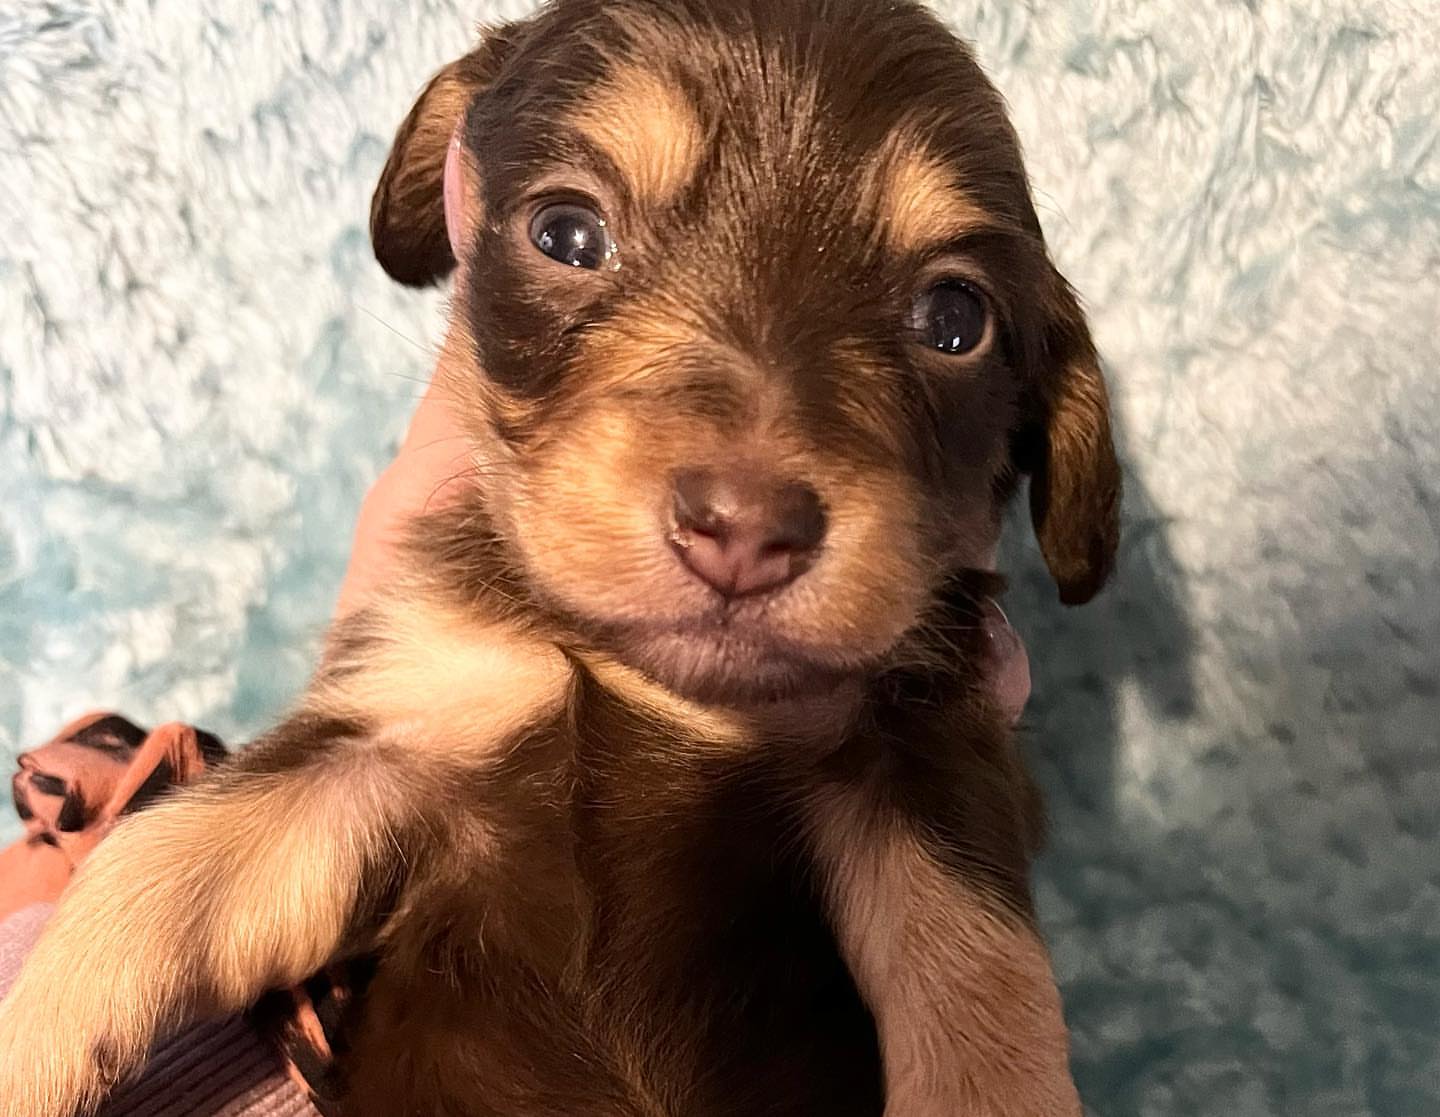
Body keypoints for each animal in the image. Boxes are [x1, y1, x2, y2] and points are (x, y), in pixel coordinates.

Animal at [0, 2, 1117, 1117]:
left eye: (955, 319)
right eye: (567, 233)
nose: (746, 530)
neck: (663, 690)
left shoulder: (924, 765)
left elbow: (985, 1003)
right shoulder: (392, 733)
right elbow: (150, 863)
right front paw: (25, 1045)